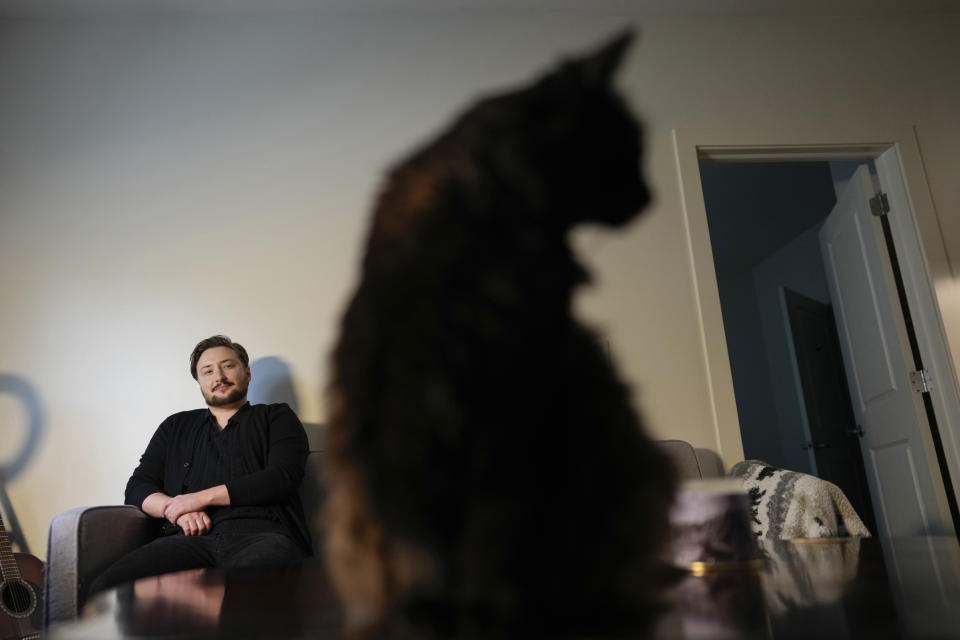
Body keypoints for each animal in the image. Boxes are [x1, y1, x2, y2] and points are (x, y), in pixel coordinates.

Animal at [320, 31, 676, 640]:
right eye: (627, 147)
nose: (649, 195)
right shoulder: (396, 431)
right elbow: (426, 545)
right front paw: (433, 606)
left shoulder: (516, 432)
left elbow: (492, 535)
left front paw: (489, 606)